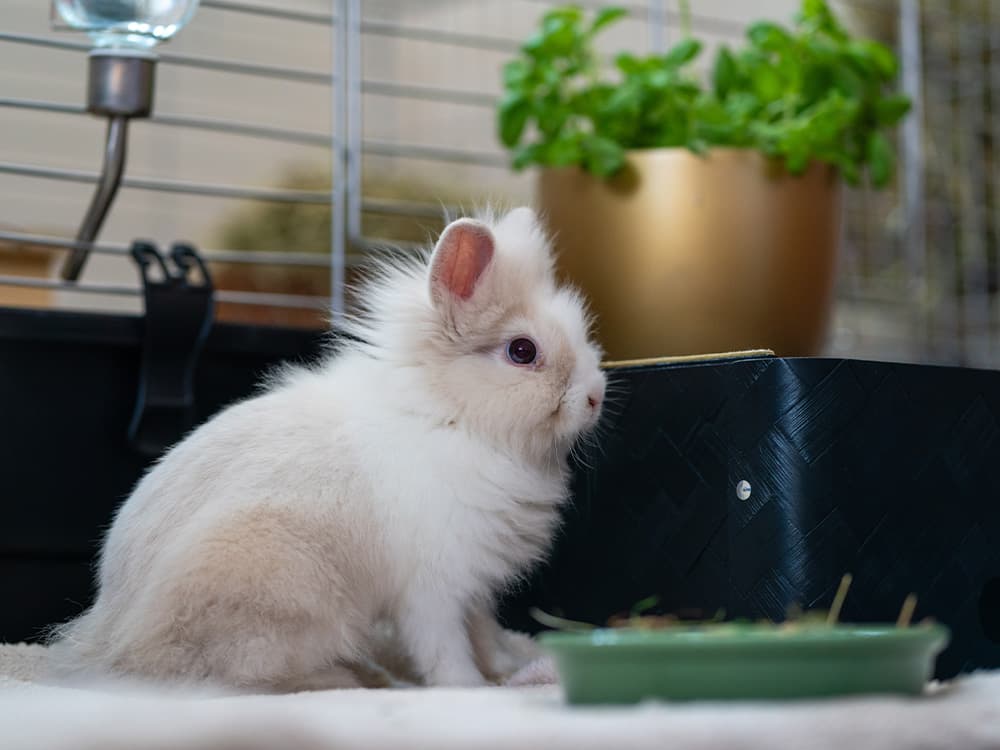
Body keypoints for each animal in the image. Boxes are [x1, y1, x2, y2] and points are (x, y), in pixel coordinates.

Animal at [46, 206, 606, 693]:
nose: (595, 397)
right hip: (284, 593)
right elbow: (444, 648)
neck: (454, 416)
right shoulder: (432, 588)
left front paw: (506, 670)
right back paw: (349, 680)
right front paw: (468, 689)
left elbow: (484, 633)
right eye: (522, 351)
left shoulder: (476, 588)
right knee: (246, 675)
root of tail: (116, 647)